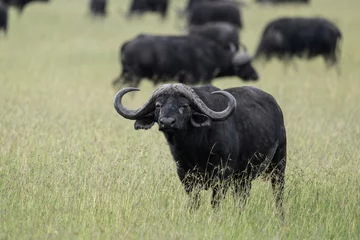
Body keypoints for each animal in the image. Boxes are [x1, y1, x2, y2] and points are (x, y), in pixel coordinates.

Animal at [114, 33, 258, 88]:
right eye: (247, 64)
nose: (256, 75)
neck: (211, 54)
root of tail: (129, 43)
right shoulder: (201, 79)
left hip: (125, 74)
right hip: (134, 77)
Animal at [114, 83, 288, 217]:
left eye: (184, 106)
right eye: (158, 105)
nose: (167, 122)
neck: (194, 149)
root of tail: (277, 108)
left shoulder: (222, 175)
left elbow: (215, 202)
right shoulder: (185, 174)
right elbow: (194, 201)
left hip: (279, 165)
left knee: (278, 194)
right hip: (243, 178)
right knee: (242, 197)